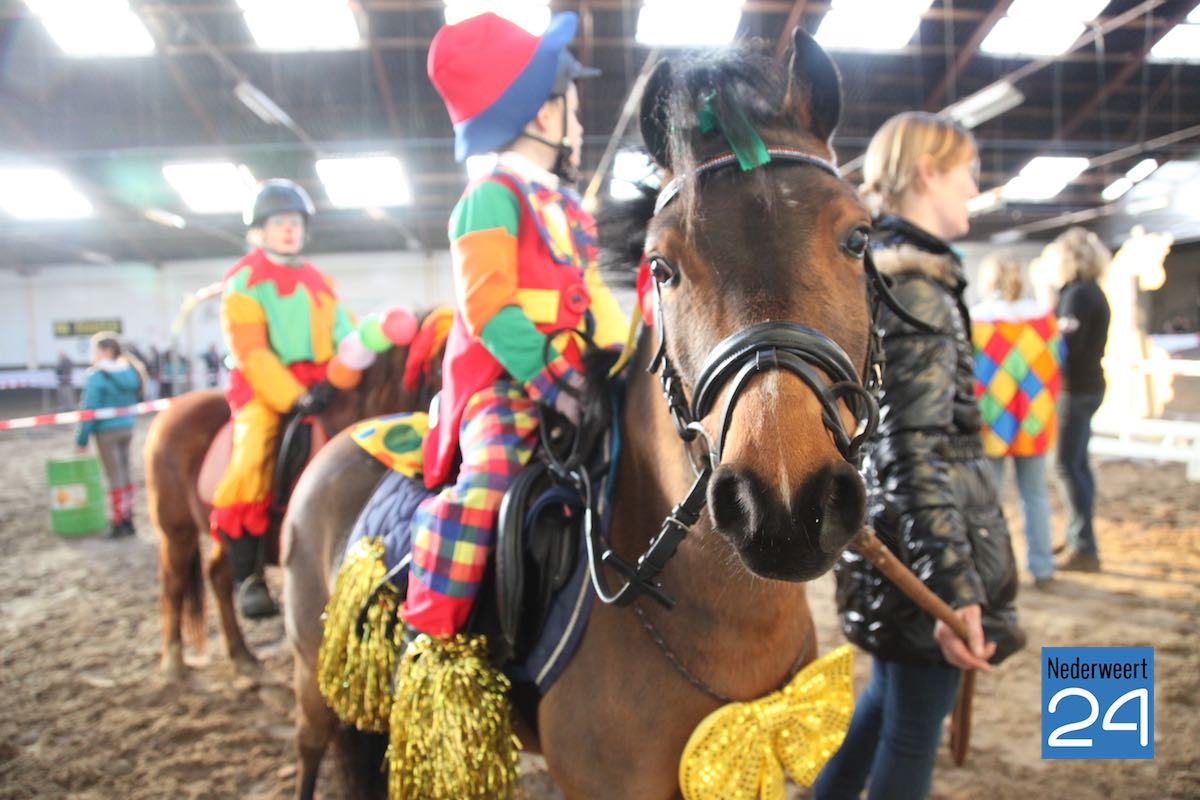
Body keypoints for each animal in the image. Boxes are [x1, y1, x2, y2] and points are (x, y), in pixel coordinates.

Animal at [145, 314, 445, 680]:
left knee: (219, 575)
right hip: (177, 530)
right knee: (173, 583)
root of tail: (170, 411)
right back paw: (174, 660)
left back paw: (242, 653)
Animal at [283, 29, 878, 799]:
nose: (782, 502)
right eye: (662, 266)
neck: (719, 616)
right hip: (312, 676)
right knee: (310, 749)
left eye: (859, 238)